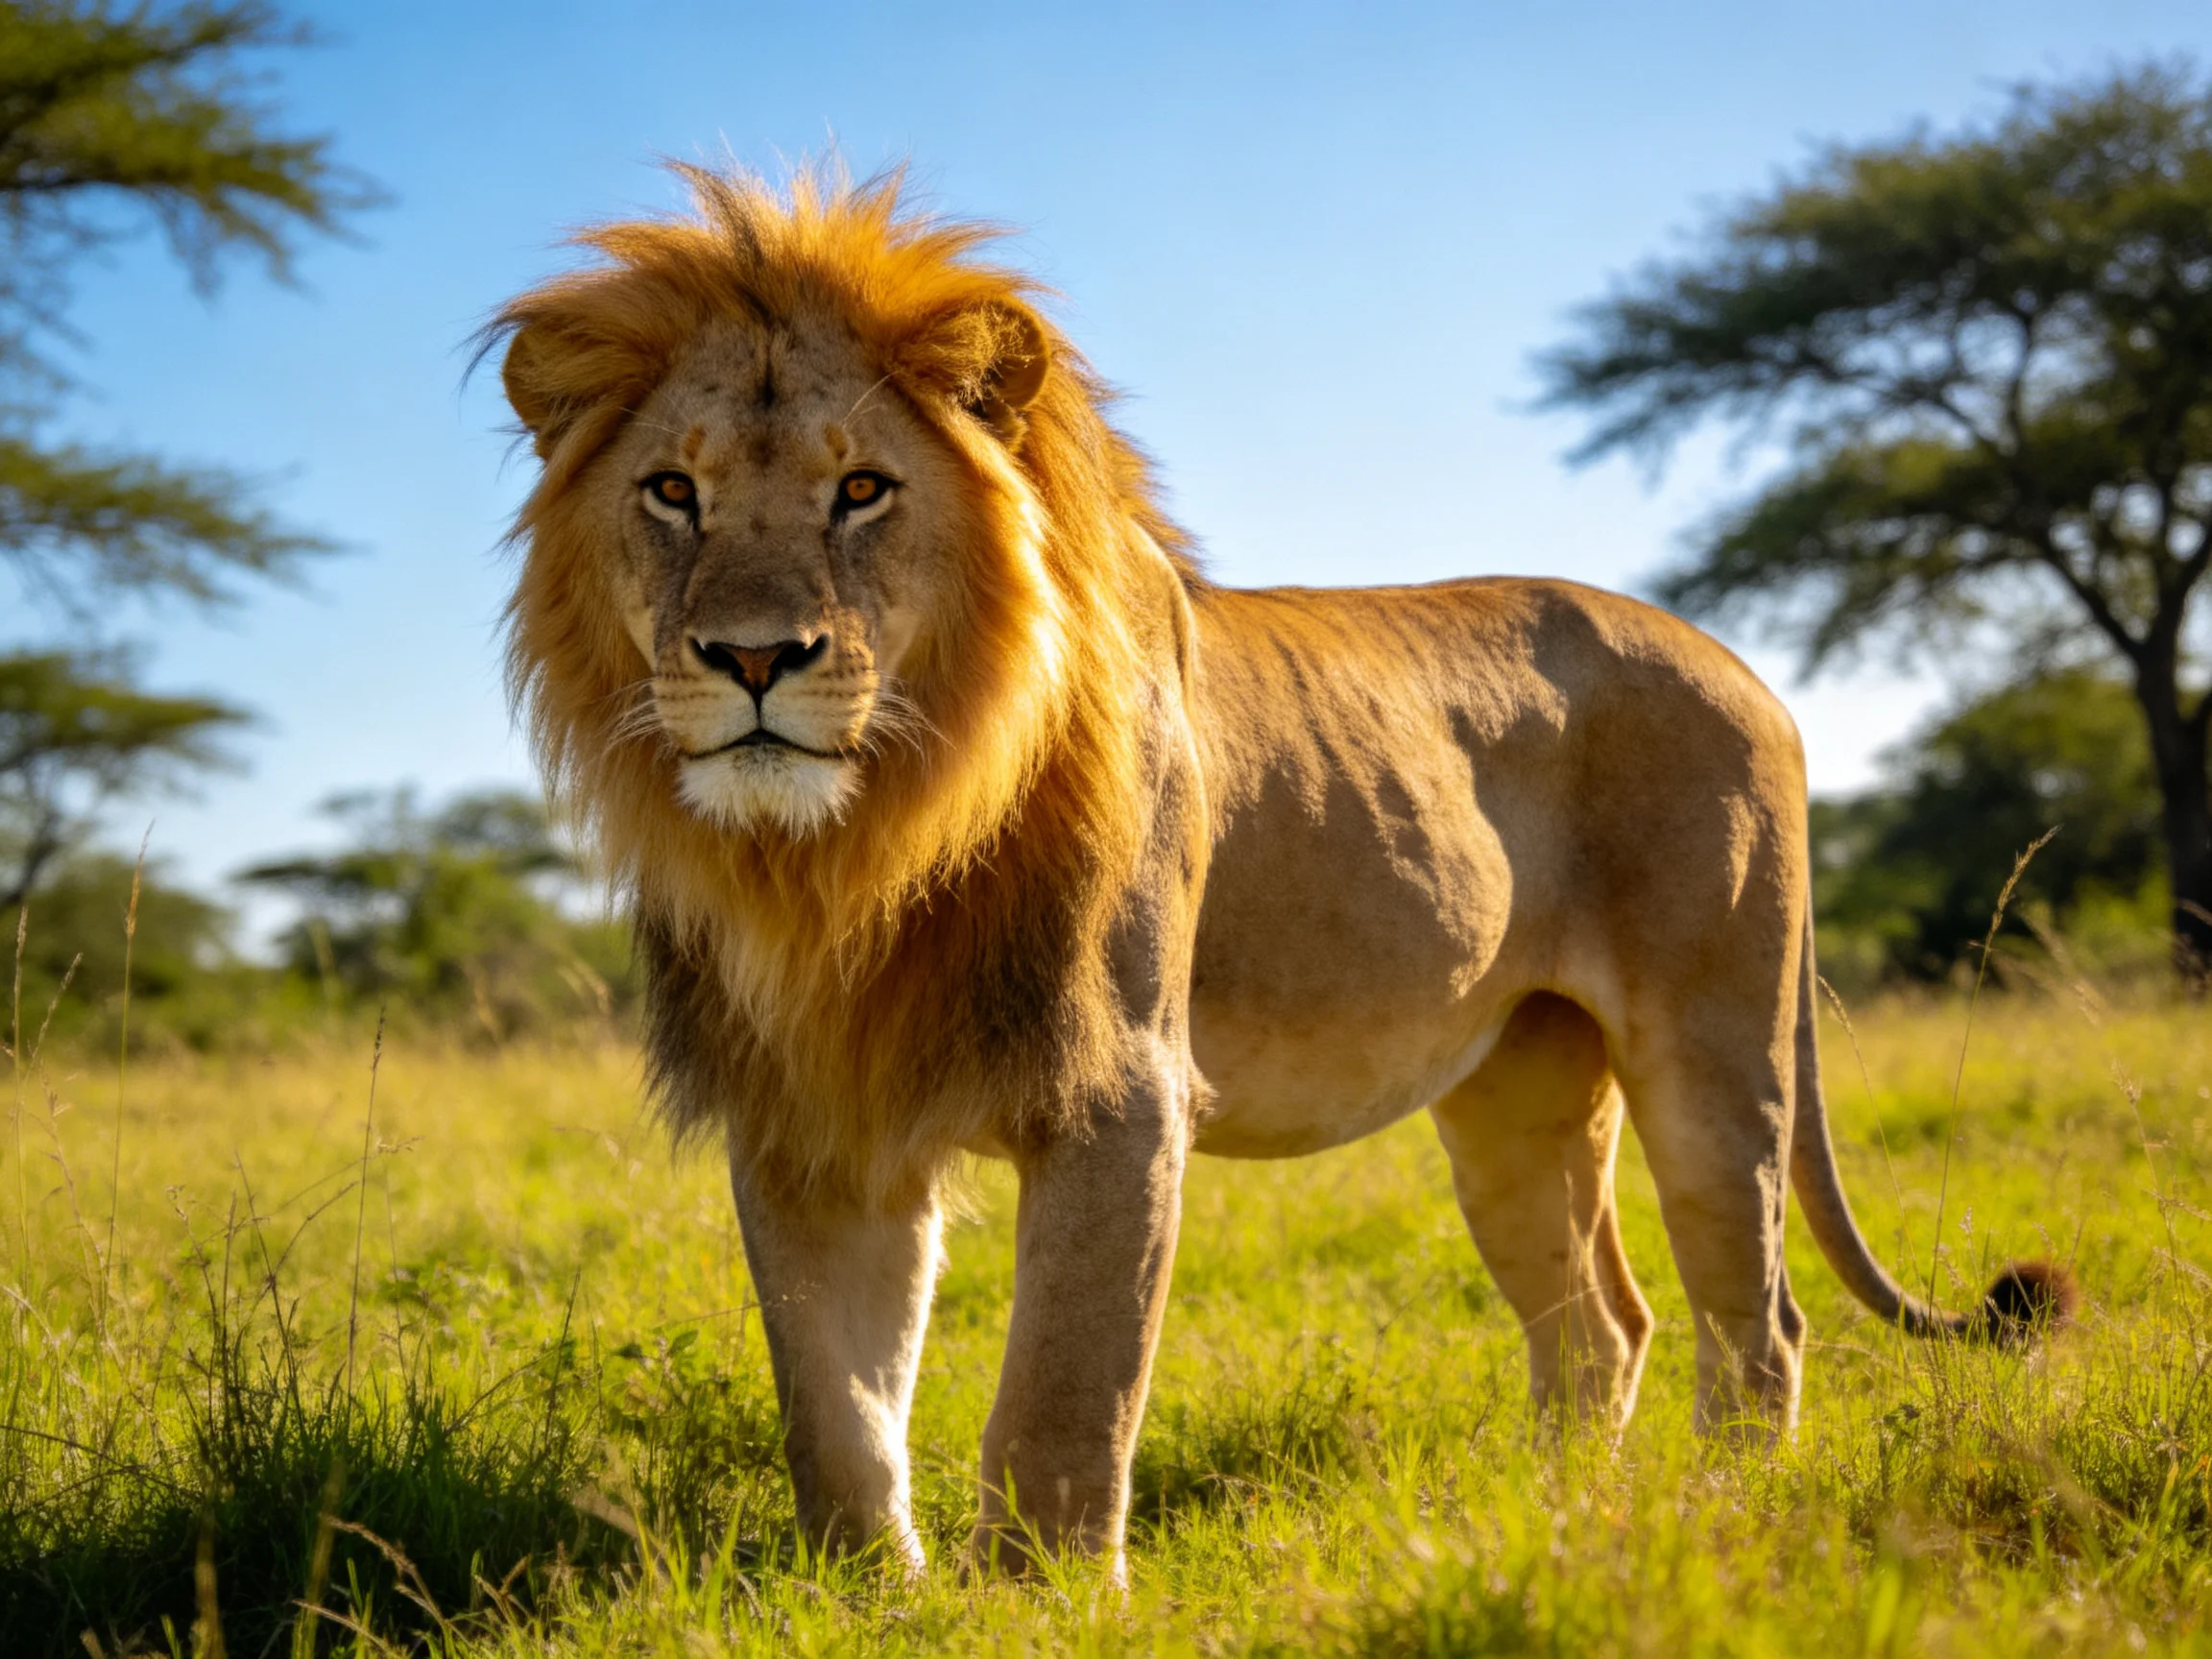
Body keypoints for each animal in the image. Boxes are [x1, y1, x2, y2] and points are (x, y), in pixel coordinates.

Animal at [486, 166, 2074, 1580]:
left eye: (862, 490)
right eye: (673, 492)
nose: (753, 659)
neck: (853, 855)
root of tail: (1750, 670)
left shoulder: (1119, 1092)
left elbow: (1062, 1395)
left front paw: (1045, 1603)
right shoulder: (810, 1115)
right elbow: (837, 1409)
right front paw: (870, 1599)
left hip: (1715, 1053)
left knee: (1756, 1322)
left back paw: (1719, 1517)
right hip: (1516, 1094)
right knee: (1596, 1326)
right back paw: (1563, 1526)